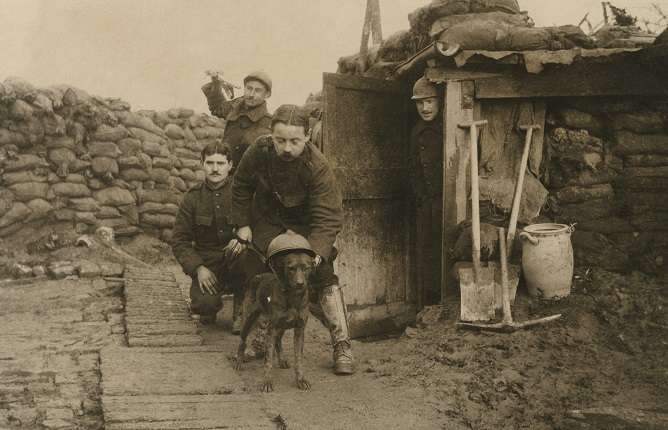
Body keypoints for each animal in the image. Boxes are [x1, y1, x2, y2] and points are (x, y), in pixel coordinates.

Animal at [234, 250, 315, 392]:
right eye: (291, 268)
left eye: (306, 268)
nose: (300, 283)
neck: (293, 297)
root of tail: (258, 276)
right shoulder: (271, 330)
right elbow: (268, 360)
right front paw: (267, 381)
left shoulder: (299, 329)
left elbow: (299, 359)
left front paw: (300, 380)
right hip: (249, 320)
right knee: (242, 342)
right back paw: (239, 361)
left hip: (281, 326)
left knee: (278, 340)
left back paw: (281, 360)